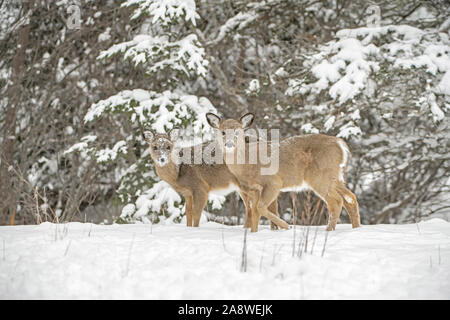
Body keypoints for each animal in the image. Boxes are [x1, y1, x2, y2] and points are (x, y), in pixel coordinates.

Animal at [142, 129, 286, 229]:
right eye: (154, 147)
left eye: (168, 146)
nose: (162, 159)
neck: (179, 173)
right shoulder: (187, 193)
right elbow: (188, 213)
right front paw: (188, 229)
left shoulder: (200, 187)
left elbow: (196, 213)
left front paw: (194, 230)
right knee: (256, 207)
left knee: (258, 206)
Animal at [206, 112, 360, 232]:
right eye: (222, 131)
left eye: (238, 131)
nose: (229, 144)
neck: (248, 163)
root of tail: (341, 145)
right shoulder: (255, 188)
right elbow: (255, 212)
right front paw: (254, 233)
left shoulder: (274, 182)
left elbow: (260, 207)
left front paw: (286, 226)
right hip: (334, 177)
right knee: (350, 198)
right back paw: (354, 227)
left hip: (320, 177)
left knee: (336, 200)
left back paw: (328, 230)